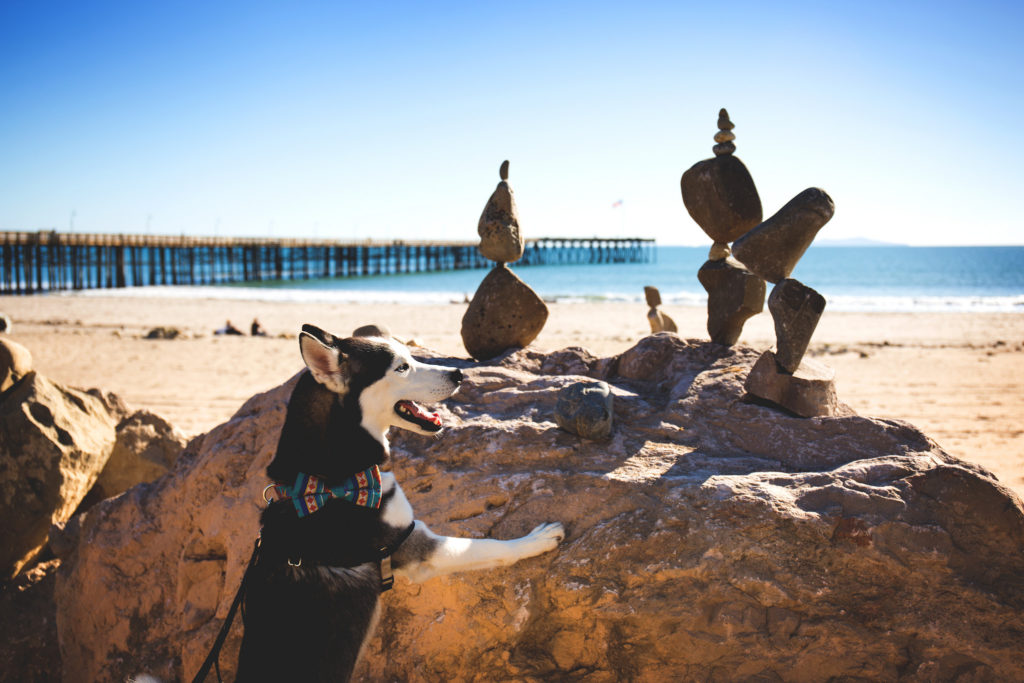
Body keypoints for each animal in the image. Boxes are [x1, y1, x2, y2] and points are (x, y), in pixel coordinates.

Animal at [235, 325, 565, 683]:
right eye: (402, 367)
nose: (459, 373)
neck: (326, 480)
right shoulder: (415, 546)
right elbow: (488, 546)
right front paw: (537, 539)